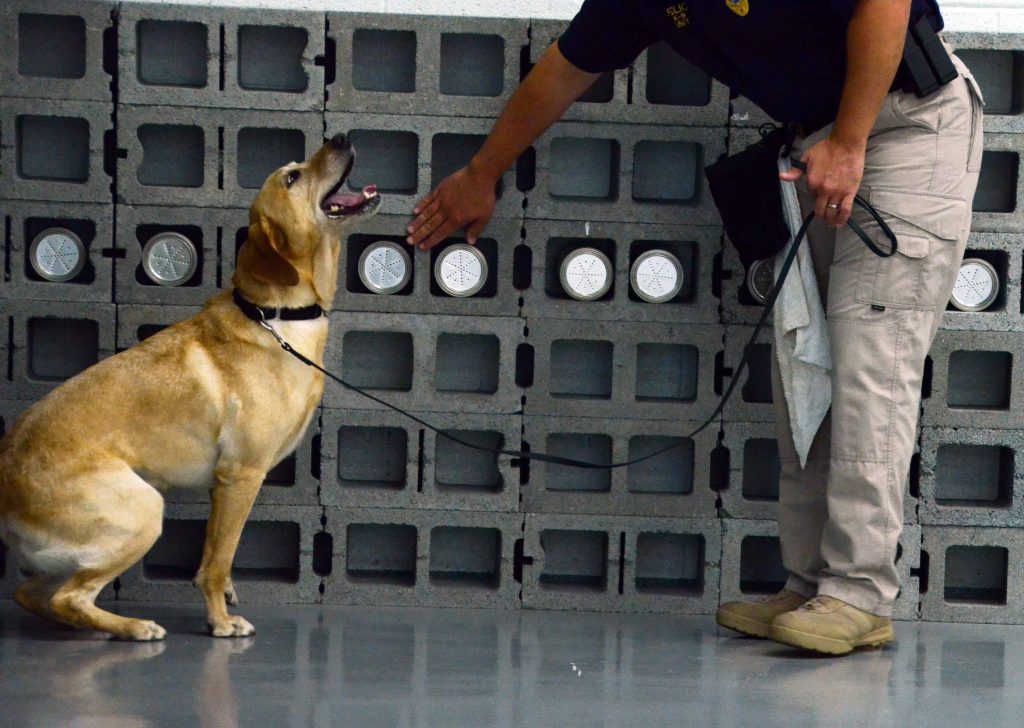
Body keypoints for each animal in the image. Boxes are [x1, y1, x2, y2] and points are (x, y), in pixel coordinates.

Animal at [0, 134, 380, 638]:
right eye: (292, 177)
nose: (341, 138)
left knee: (31, 595)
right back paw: (133, 627)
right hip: (141, 512)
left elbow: (217, 554)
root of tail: (5, 475)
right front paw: (220, 621)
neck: (277, 316)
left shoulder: (222, 489)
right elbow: (216, 564)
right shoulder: (241, 476)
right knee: (70, 597)